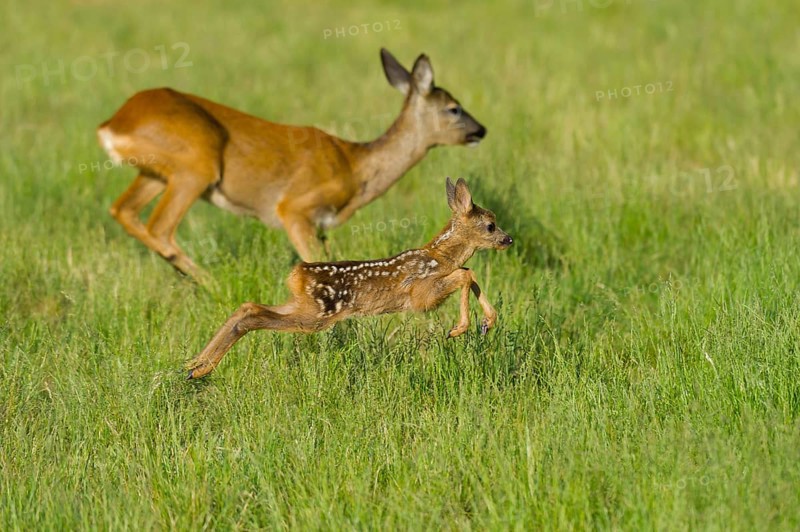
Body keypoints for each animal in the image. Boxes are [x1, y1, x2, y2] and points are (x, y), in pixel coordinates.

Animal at [96, 48, 487, 281]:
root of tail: (113, 124)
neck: (354, 166)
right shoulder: (295, 209)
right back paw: (211, 283)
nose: (481, 130)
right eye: (454, 108)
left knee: (123, 210)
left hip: (155, 173)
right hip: (196, 167)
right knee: (160, 226)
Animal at [186, 177, 512, 379]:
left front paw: (487, 323)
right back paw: (200, 368)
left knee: (248, 306)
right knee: (252, 317)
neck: (440, 255)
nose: (508, 239)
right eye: (490, 225)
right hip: (315, 316)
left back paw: (194, 365)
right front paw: (459, 329)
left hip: (301, 306)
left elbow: (468, 274)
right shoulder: (421, 295)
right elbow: (465, 275)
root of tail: (296, 274)